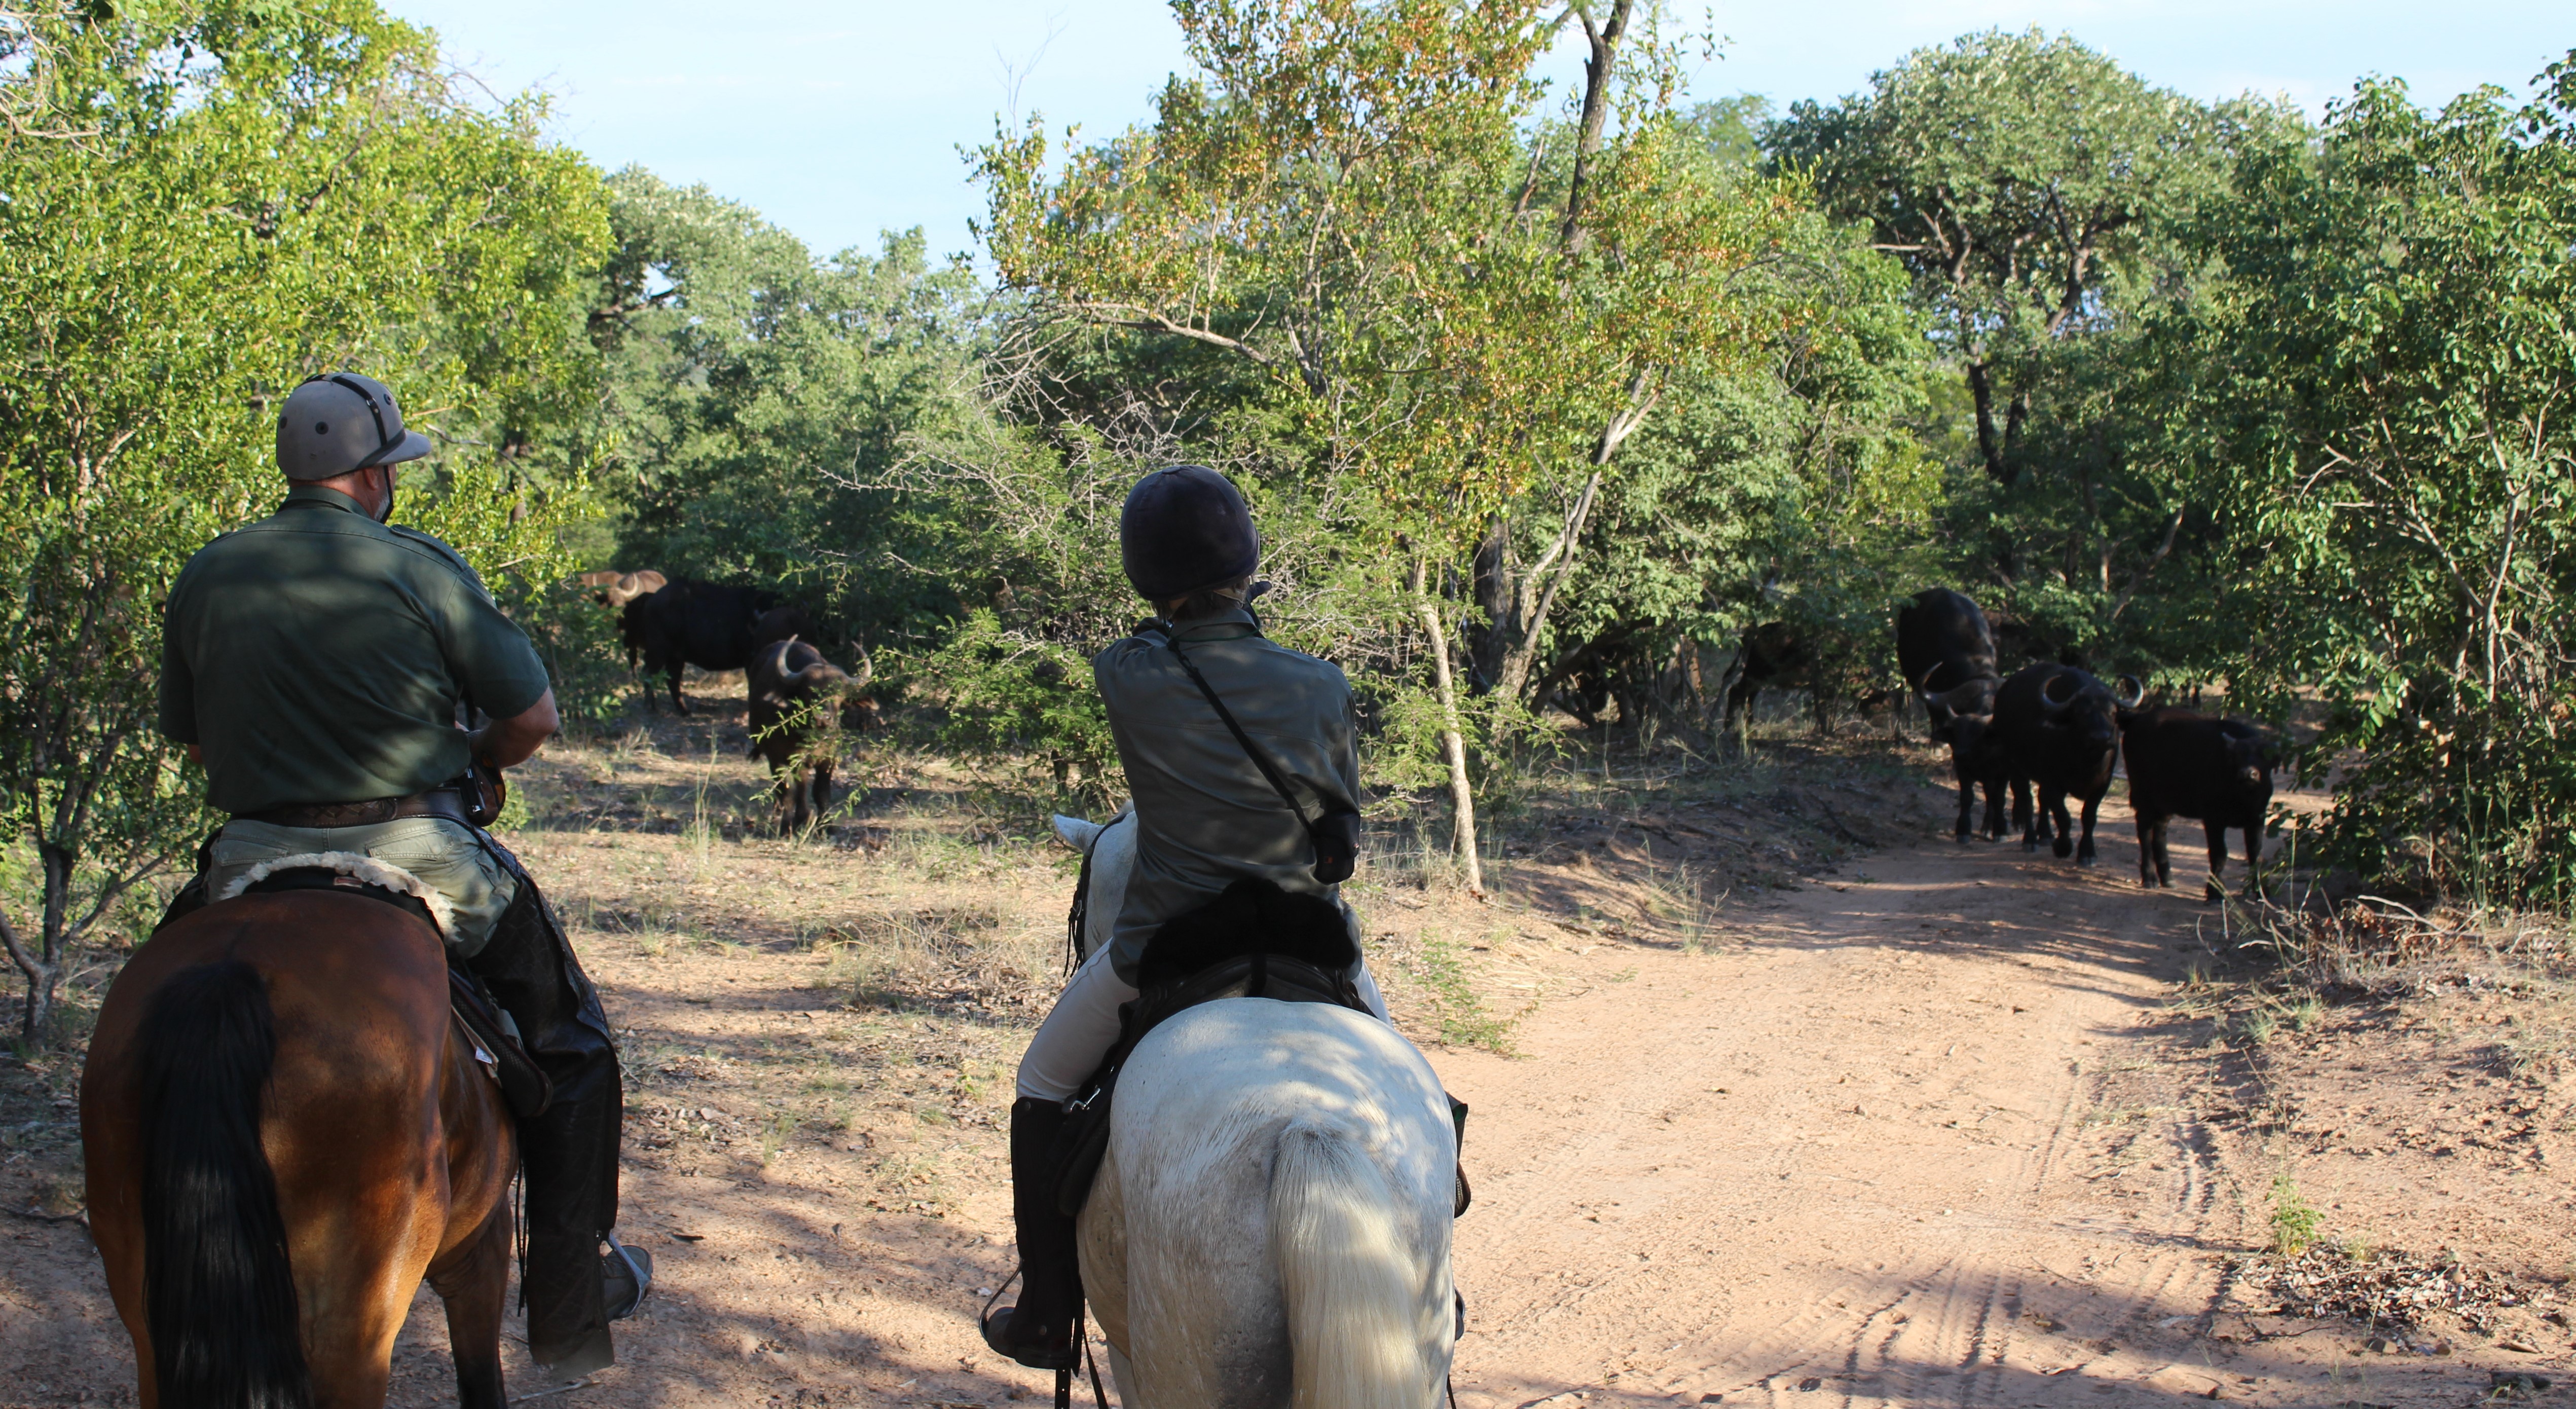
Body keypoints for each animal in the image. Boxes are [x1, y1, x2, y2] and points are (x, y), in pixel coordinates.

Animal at [747, 638, 873, 834]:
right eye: (809, 692)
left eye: (839, 693)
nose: (823, 719)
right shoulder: (789, 759)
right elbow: (795, 790)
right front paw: (795, 823)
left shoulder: (829, 760)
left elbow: (821, 792)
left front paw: (826, 826)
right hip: (774, 759)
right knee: (781, 788)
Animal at [1992, 662, 2143, 865]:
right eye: (2080, 713)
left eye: (2113, 712)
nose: (2102, 738)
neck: (2087, 762)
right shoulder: (2053, 782)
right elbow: (2063, 817)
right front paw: (2063, 847)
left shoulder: (2102, 784)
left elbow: (2089, 817)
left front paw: (2087, 853)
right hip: (2014, 762)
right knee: (2026, 799)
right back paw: (2030, 840)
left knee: (2041, 799)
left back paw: (2045, 835)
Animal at [2119, 706, 2274, 897]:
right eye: (2238, 755)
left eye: (2265, 757)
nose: (2248, 774)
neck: (2244, 796)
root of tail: (2137, 719)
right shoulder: (2214, 820)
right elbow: (2219, 855)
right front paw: (2215, 893)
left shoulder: (2257, 819)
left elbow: (2256, 855)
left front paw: (2262, 892)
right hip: (2144, 797)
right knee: (2145, 832)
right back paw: (2150, 878)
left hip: (2165, 803)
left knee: (2160, 832)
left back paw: (2168, 878)